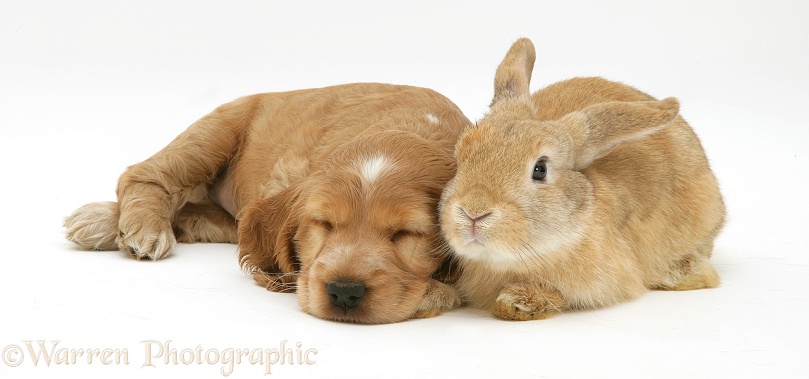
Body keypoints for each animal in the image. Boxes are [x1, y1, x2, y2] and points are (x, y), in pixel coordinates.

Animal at [64, 83, 468, 324]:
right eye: (323, 223)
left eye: (406, 233)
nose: (344, 292)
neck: (407, 127)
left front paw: (434, 290)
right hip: (213, 133)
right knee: (143, 174)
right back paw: (129, 225)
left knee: (194, 213)